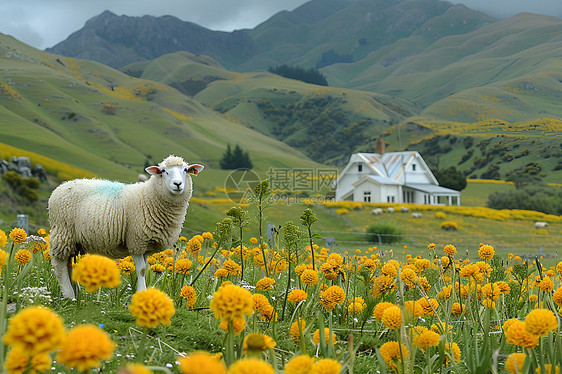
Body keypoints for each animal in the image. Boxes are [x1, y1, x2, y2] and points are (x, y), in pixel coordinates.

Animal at [48, 155, 203, 298]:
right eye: (164, 171)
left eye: (185, 170)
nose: (178, 184)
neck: (149, 197)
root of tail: (60, 187)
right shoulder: (136, 241)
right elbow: (141, 270)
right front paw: (141, 293)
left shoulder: (147, 246)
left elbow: (145, 269)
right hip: (63, 232)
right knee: (59, 264)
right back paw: (70, 295)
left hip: (73, 240)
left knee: (68, 263)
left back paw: (74, 292)